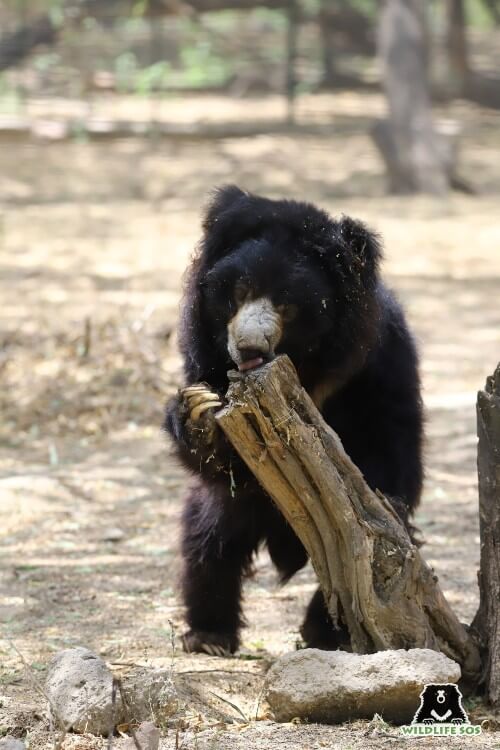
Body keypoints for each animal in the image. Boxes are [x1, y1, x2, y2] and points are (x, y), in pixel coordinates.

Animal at [166, 188, 424, 656]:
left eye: (288, 304)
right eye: (238, 291)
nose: (248, 349)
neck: (305, 366)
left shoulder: (379, 371)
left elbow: (387, 465)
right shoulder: (205, 358)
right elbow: (223, 456)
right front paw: (199, 412)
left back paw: (324, 632)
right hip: (229, 509)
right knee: (207, 541)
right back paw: (209, 635)